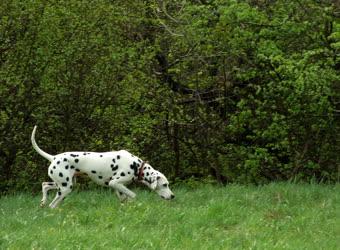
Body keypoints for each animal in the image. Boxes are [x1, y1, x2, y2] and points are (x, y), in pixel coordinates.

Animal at [31, 125, 175, 209]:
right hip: (66, 188)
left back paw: (43, 201)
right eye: (165, 185)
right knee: (52, 204)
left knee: (45, 185)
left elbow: (124, 198)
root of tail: (54, 157)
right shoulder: (115, 182)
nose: (173, 196)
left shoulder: (118, 186)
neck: (136, 166)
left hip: (63, 183)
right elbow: (133, 195)